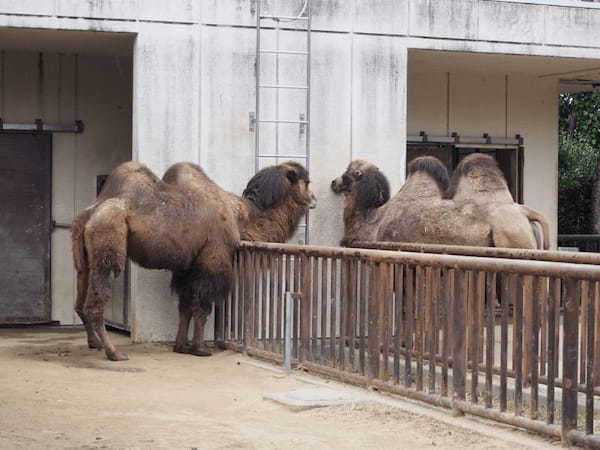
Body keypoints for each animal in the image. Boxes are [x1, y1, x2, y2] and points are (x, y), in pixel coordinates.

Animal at [72, 160, 316, 360]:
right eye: (306, 182)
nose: (313, 199)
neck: (242, 218)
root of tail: (91, 212)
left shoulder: (187, 267)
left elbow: (185, 305)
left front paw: (181, 346)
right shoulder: (213, 260)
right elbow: (202, 306)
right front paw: (201, 349)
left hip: (82, 253)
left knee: (80, 297)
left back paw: (94, 343)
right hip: (108, 239)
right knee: (96, 301)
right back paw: (114, 352)